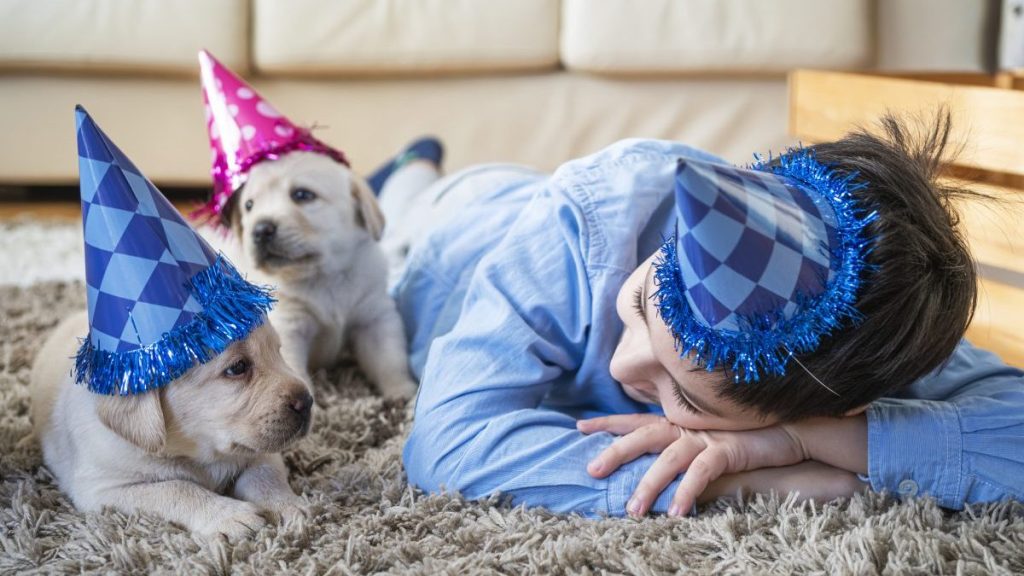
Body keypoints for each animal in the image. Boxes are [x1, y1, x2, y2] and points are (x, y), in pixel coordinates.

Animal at [32, 309, 313, 537]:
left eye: (278, 351)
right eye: (237, 367)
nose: (308, 401)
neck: (195, 454)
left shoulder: (262, 450)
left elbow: (265, 474)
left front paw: (286, 505)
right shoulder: (100, 488)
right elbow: (176, 488)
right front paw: (231, 515)